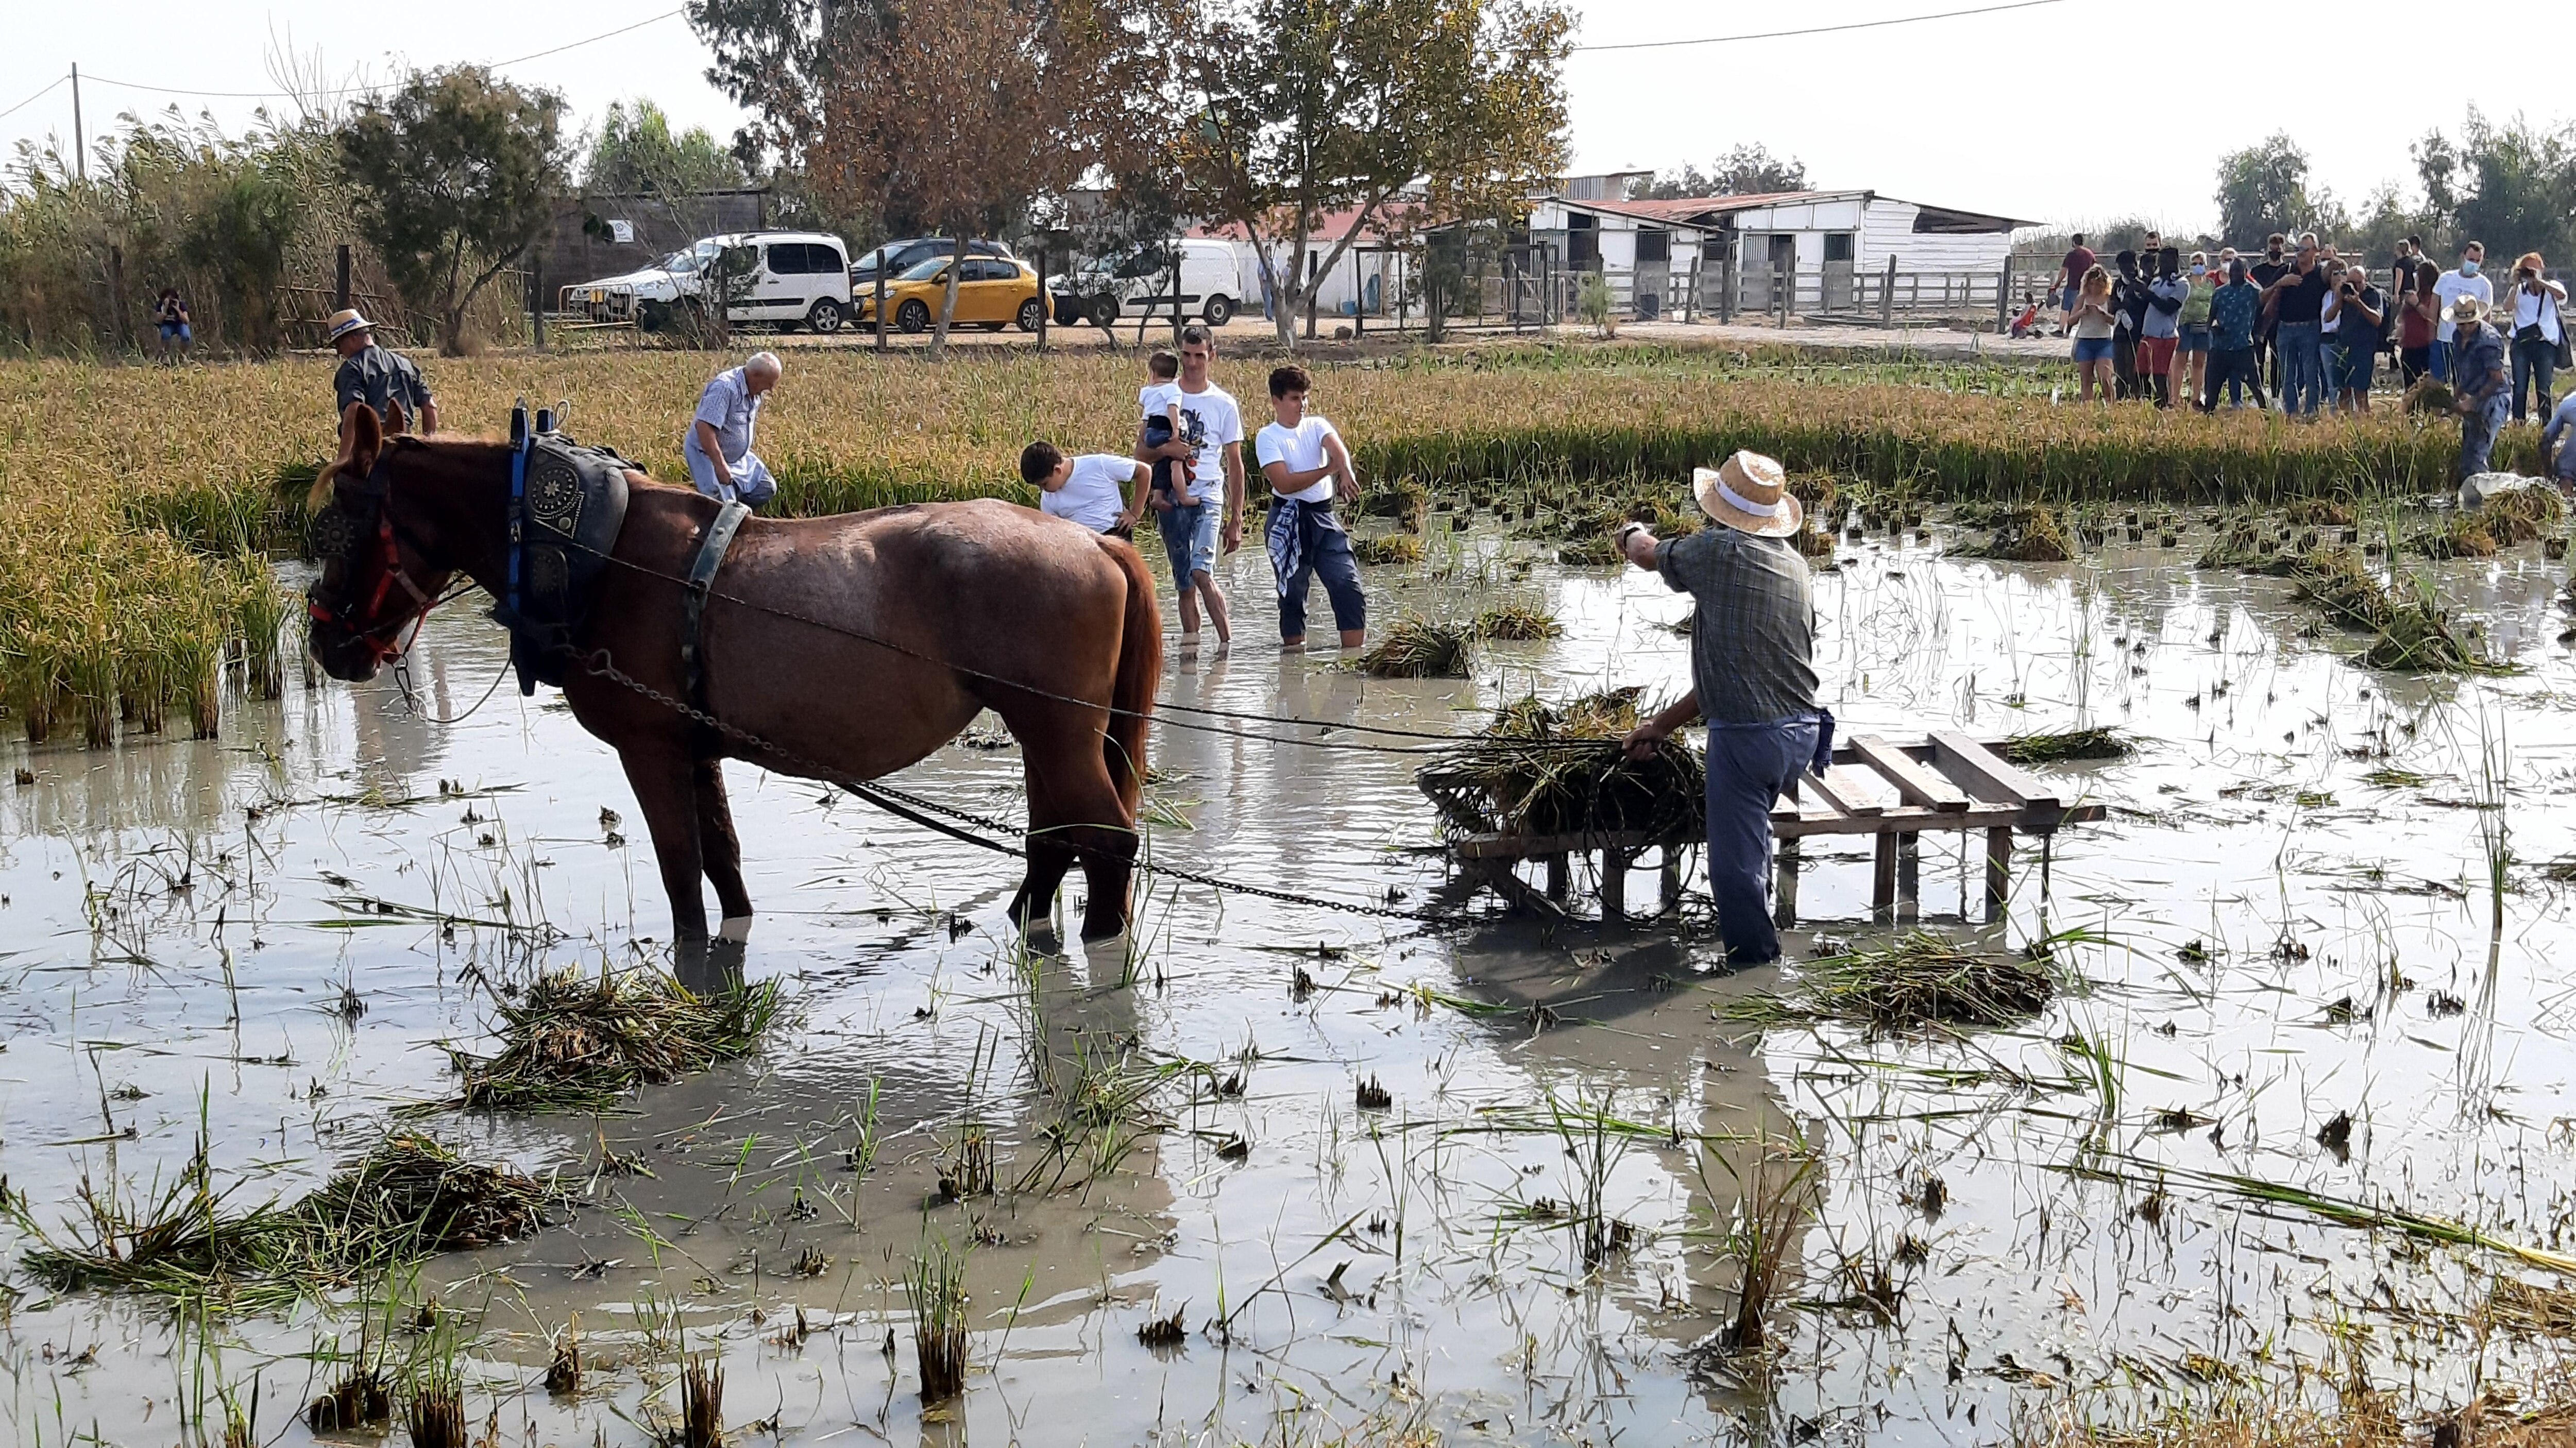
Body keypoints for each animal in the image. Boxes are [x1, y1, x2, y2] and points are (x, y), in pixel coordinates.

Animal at [296, 397, 1164, 938]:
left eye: (340, 524)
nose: (324, 640)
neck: (595, 554)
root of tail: (1097, 543)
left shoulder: (649, 746)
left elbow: (683, 874)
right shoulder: (695, 745)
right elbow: (723, 858)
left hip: (1055, 726)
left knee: (1109, 840)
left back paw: (1102, 947)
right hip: (1045, 730)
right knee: (1055, 836)